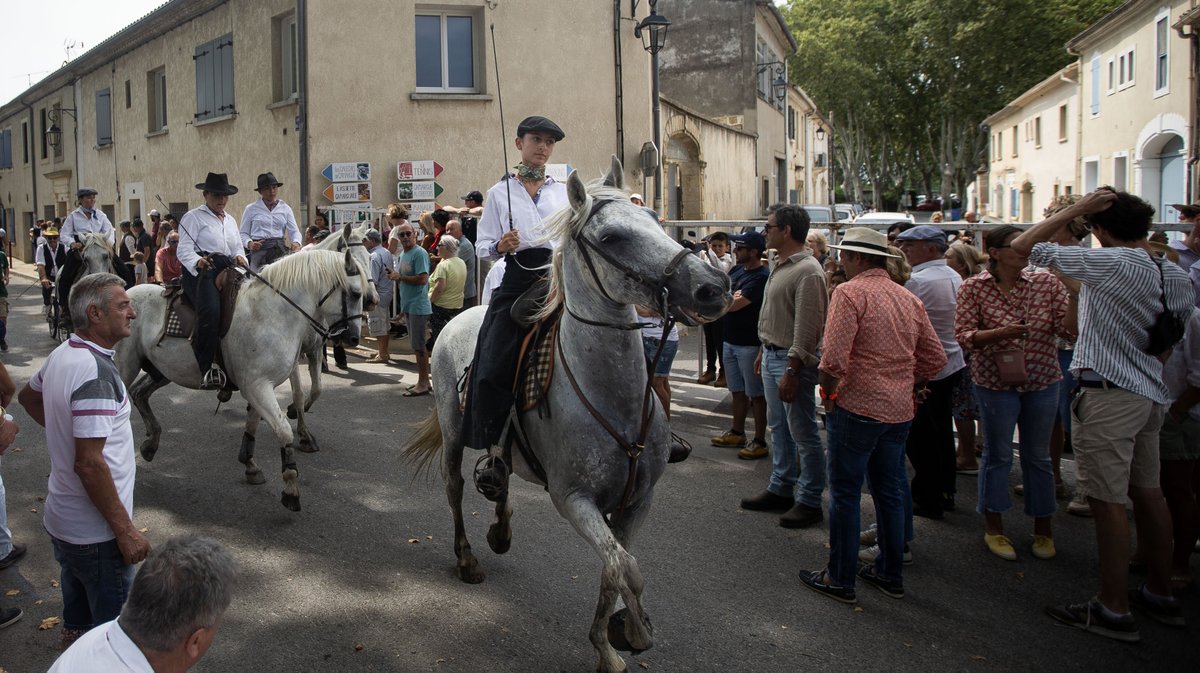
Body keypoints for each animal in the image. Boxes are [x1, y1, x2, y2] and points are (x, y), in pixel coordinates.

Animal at [118, 248, 369, 508]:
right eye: (355, 293)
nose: (353, 338)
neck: (273, 314)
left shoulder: (259, 386)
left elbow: (253, 424)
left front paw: (250, 464)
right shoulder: (258, 387)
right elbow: (283, 430)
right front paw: (290, 486)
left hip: (164, 370)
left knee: (139, 393)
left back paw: (150, 445)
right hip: (125, 366)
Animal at [405, 158, 729, 671]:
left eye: (655, 220)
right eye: (613, 237)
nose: (713, 288)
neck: (613, 399)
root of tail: (460, 316)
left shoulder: (638, 501)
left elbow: (615, 567)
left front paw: (613, 636)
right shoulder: (574, 499)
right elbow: (625, 569)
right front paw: (630, 632)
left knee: (501, 475)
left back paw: (500, 528)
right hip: (455, 430)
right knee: (455, 488)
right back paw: (468, 558)